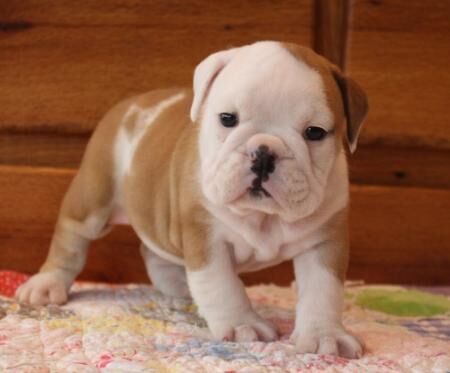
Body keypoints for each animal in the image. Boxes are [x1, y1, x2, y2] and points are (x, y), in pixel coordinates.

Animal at [17, 40, 370, 358]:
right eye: (227, 118)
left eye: (314, 132)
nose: (264, 152)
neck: (261, 216)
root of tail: (130, 104)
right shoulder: (205, 236)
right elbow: (222, 284)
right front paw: (242, 325)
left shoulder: (324, 242)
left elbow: (323, 291)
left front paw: (324, 335)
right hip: (94, 195)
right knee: (72, 237)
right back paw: (46, 284)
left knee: (154, 251)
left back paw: (179, 289)